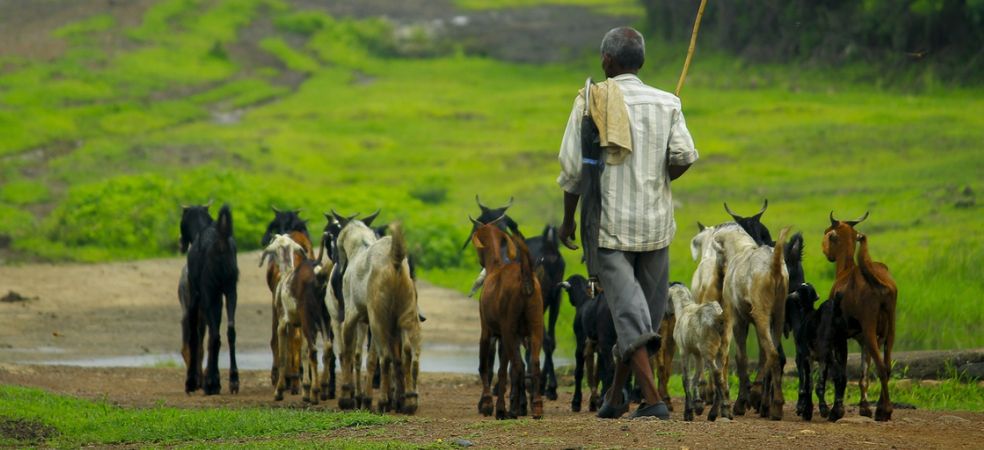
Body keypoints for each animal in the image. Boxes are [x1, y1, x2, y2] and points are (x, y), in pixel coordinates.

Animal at [187, 204, 243, 394]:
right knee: (230, 330)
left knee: (214, 335)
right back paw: (233, 380)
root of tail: (221, 242)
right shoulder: (218, 295)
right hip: (231, 289)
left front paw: (192, 382)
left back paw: (211, 383)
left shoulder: (198, 295)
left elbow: (195, 334)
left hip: (208, 291)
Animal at [470, 216, 544, 420]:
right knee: (533, 363)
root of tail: (526, 279)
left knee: (518, 366)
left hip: (509, 327)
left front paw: (489, 405)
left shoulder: (488, 331)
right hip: (536, 325)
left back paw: (511, 410)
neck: (495, 265)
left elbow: (484, 366)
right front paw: (501, 407)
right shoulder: (506, 336)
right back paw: (536, 407)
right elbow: (502, 369)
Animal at [560, 272, 616, 414]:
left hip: (606, 340)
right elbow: (597, 372)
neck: (583, 301)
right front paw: (592, 402)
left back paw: (605, 400)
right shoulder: (596, 347)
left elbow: (579, 371)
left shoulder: (580, 343)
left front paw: (576, 403)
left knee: (611, 368)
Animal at [668, 284, 732, 420]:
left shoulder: (684, 351)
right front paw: (697, 405)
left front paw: (688, 412)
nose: (666, 314)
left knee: (716, 374)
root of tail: (719, 316)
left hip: (708, 351)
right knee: (721, 375)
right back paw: (718, 411)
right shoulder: (697, 353)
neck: (684, 308)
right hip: (722, 350)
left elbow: (686, 379)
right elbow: (696, 377)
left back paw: (721, 409)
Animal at [824, 212, 900, 422]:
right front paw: (865, 408)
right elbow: (863, 374)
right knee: (887, 366)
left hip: (870, 328)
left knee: (881, 367)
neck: (845, 272)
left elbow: (841, 373)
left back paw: (884, 410)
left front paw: (837, 411)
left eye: (827, 233)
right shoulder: (862, 340)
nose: (826, 252)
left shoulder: (840, 336)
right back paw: (882, 407)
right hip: (889, 330)